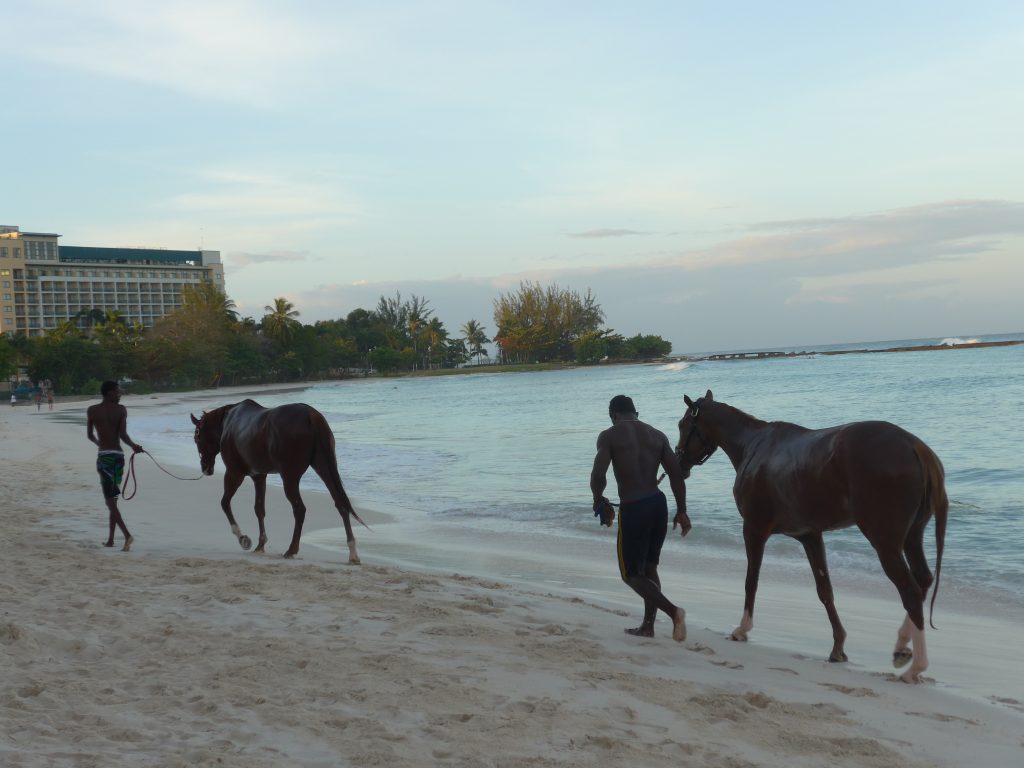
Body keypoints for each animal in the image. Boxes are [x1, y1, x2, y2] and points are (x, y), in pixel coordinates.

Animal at [191, 403, 364, 565]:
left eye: (197, 438)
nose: (205, 468)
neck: (228, 421)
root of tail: (311, 415)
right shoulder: (259, 476)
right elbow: (259, 509)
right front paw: (260, 544)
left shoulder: (234, 473)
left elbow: (225, 503)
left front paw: (243, 539)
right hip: (324, 468)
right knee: (341, 504)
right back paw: (352, 553)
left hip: (290, 477)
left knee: (299, 509)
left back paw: (292, 549)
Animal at [675, 393, 946, 684]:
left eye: (682, 425)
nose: (679, 463)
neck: (754, 445)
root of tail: (913, 445)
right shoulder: (810, 536)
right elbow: (825, 590)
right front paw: (838, 646)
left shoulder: (754, 530)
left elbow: (751, 581)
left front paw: (742, 628)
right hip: (911, 538)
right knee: (923, 579)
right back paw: (902, 647)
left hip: (886, 544)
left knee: (911, 591)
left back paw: (915, 666)